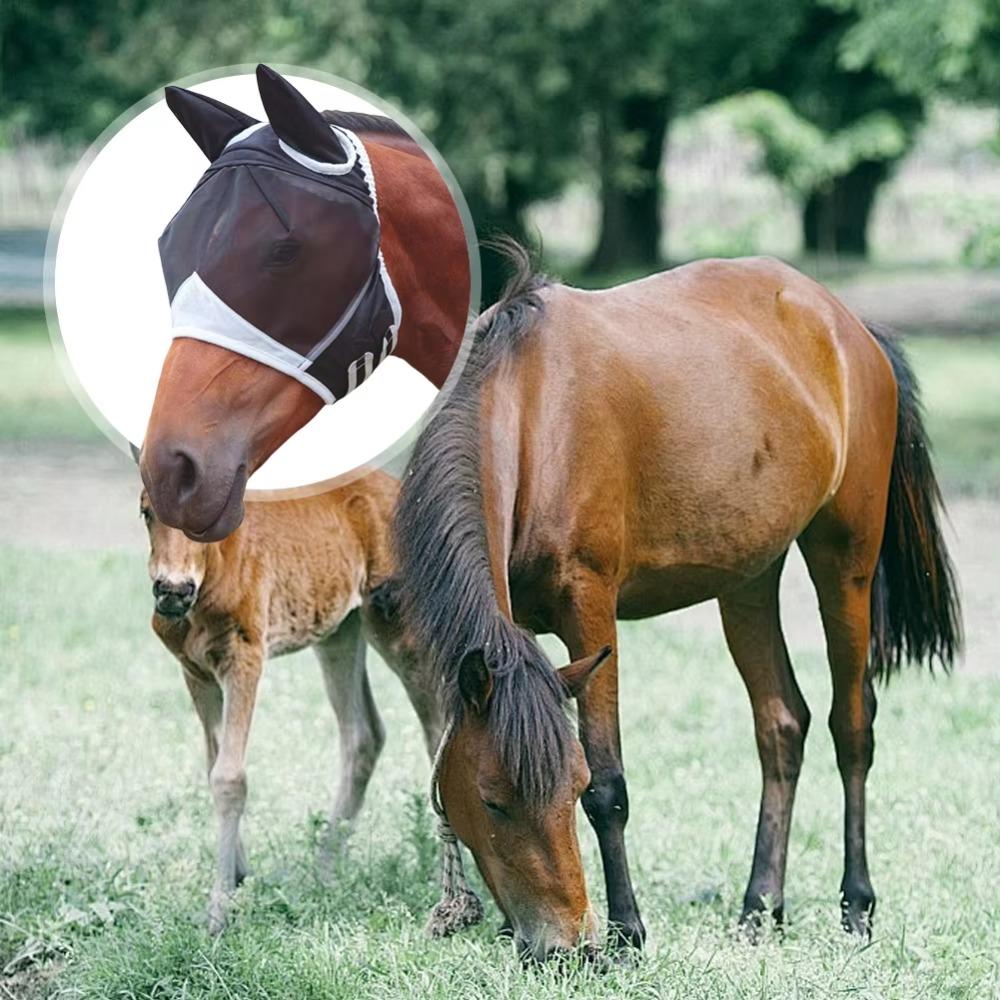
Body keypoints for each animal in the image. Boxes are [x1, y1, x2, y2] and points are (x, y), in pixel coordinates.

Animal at [142, 469, 481, 935]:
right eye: (146, 511)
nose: (172, 590)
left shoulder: (245, 656)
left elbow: (230, 777)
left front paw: (219, 911)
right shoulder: (195, 672)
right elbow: (213, 763)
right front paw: (238, 876)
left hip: (398, 629)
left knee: (435, 733)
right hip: (340, 631)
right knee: (364, 735)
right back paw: (325, 869)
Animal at [388, 245, 961, 961]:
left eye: (571, 789)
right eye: (492, 801)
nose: (562, 946)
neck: (530, 413)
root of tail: (850, 327)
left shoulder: (590, 609)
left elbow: (611, 784)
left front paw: (628, 932)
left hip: (844, 561)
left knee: (851, 725)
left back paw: (855, 908)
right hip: (748, 578)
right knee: (782, 724)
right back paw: (759, 908)